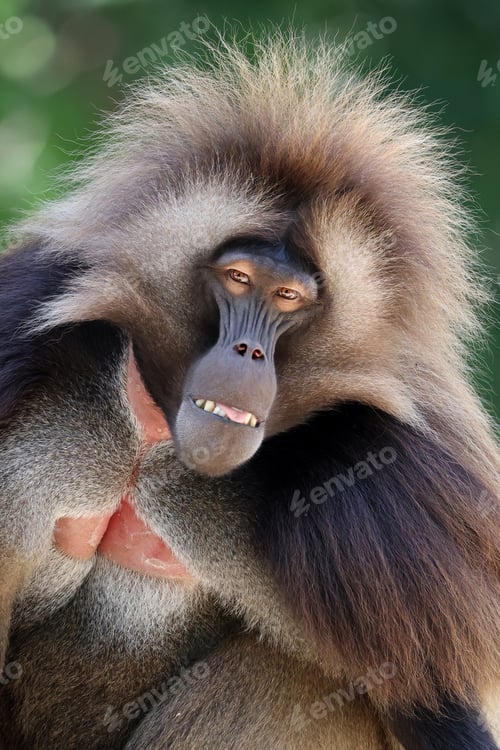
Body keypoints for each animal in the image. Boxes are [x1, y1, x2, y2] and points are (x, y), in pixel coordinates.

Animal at [0, 31, 498, 750]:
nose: (248, 353)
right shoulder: (28, 310)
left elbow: (433, 702)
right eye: (237, 278)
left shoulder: (384, 485)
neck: (157, 439)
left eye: (288, 297)